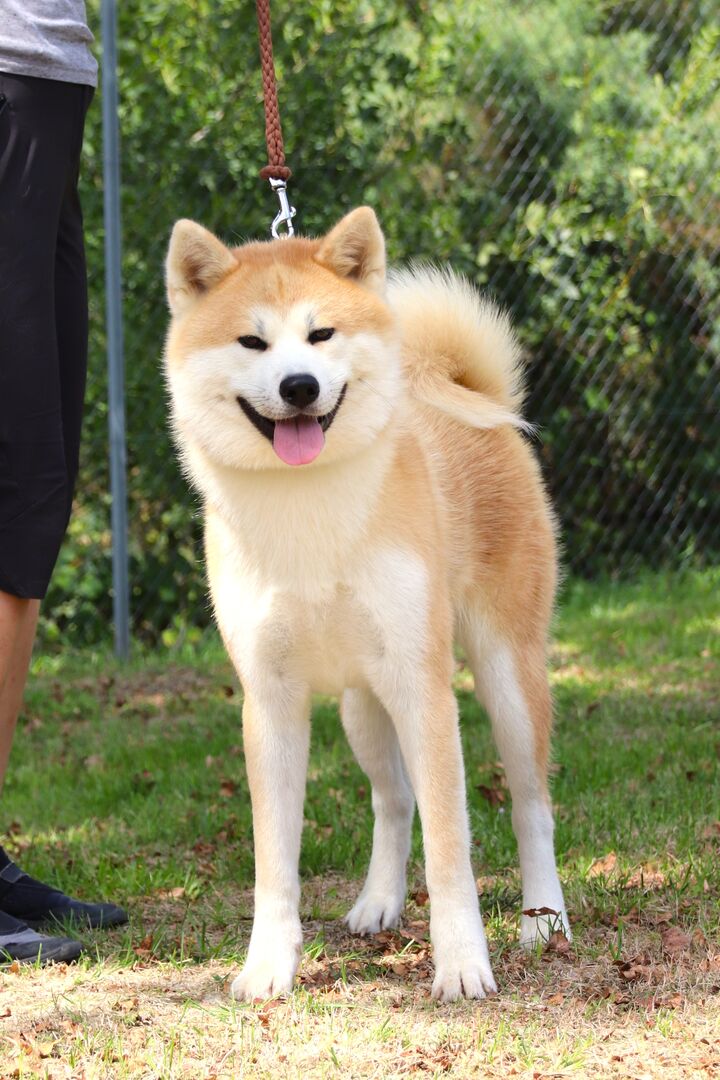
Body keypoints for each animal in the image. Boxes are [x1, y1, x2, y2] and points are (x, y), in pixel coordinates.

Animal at [164, 207, 569, 1002]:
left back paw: (544, 918)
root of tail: (470, 394)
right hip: (362, 704)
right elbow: (275, 861)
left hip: (506, 676)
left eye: (321, 334)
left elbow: (451, 845)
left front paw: (463, 962)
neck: (309, 510)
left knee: (532, 805)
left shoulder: (423, 685)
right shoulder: (272, 700)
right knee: (393, 800)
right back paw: (379, 900)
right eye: (252, 341)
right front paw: (269, 966)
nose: (298, 386)